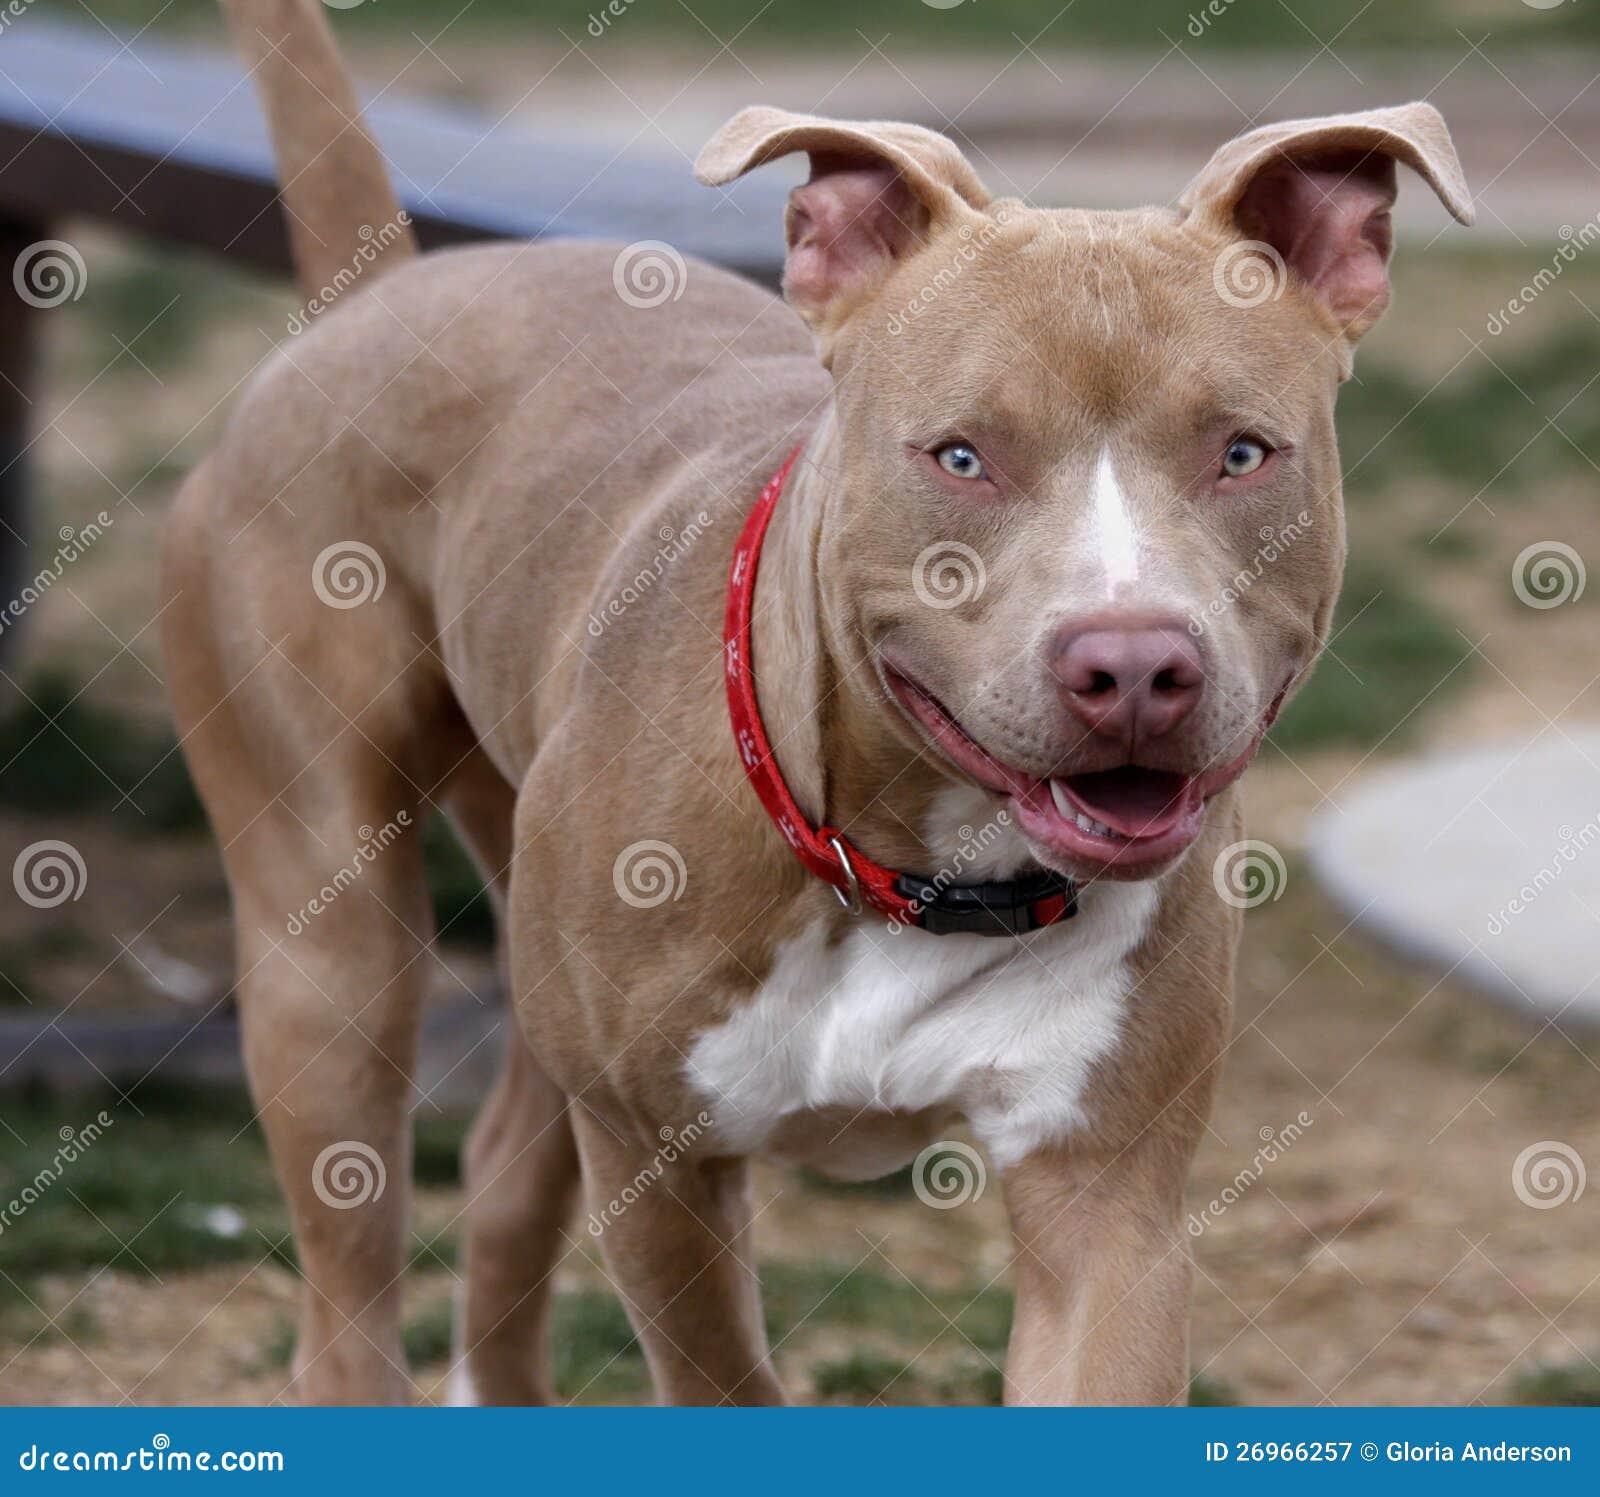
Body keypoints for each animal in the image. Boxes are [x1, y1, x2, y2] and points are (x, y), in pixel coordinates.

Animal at [165, 0, 1472, 1401]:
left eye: (1241, 453)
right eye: (960, 455)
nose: (1132, 667)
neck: (914, 869)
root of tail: (383, 290)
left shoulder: (1106, 1201)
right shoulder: (659, 1172)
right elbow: (723, 1379)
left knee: (508, 1174)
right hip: (329, 951)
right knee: (348, 1263)